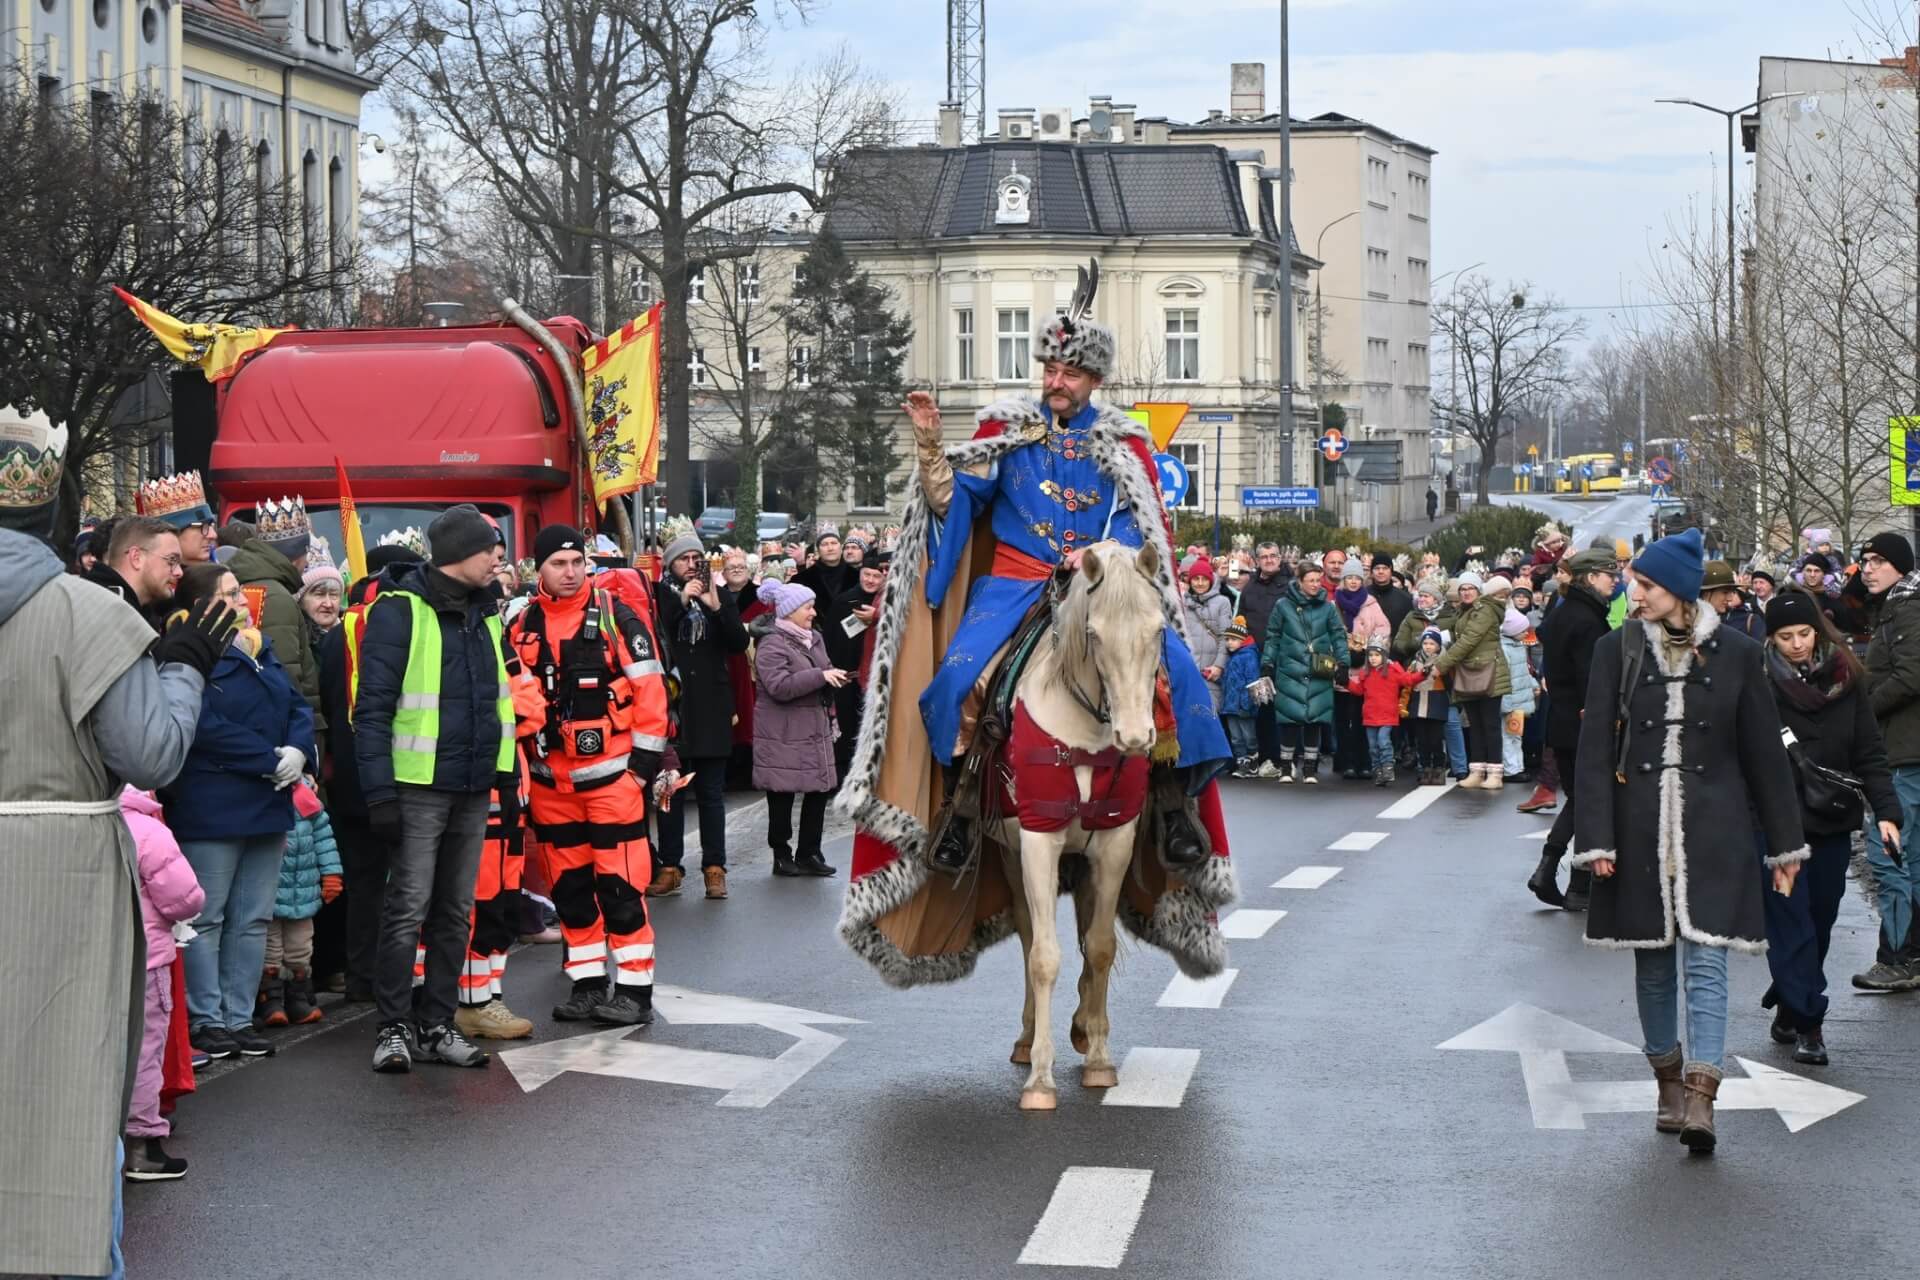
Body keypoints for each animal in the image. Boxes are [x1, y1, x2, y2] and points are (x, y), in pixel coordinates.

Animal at [998, 541, 1159, 1113]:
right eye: (1094, 634)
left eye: (1160, 631)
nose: (1134, 737)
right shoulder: (1037, 840)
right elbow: (1044, 956)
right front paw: (1041, 1080)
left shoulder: (1113, 844)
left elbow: (1103, 946)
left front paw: (1099, 1059)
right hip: (1013, 855)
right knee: (1029, 935)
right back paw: (1029, 1041)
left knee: (1090, 940)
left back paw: (1084, 1027)